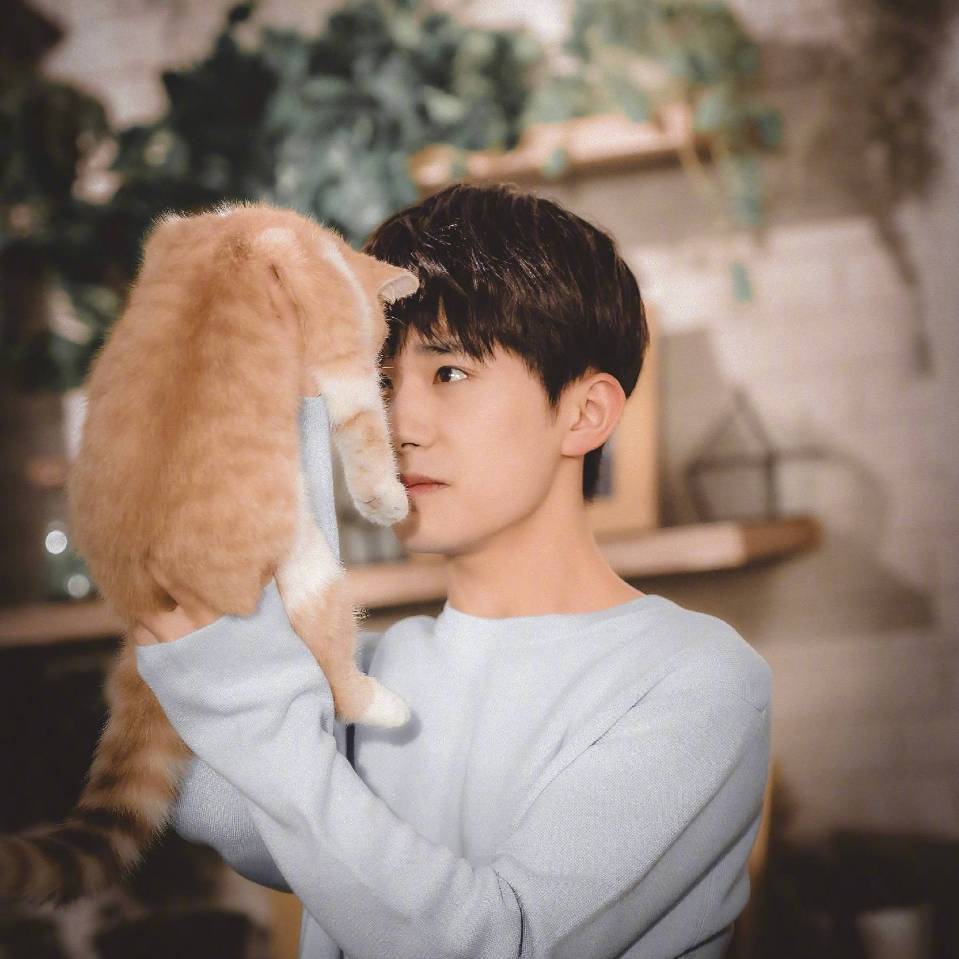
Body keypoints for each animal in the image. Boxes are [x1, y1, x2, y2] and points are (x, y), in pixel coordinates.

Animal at [0, 200, 419, 907]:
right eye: (379, 346)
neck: (238, 240)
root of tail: (140, 597)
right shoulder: (339, 355)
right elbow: (365, 432)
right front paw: (386, 501)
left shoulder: (170, 234)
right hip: (311, 563)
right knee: (336, 679)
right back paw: (383, 704)